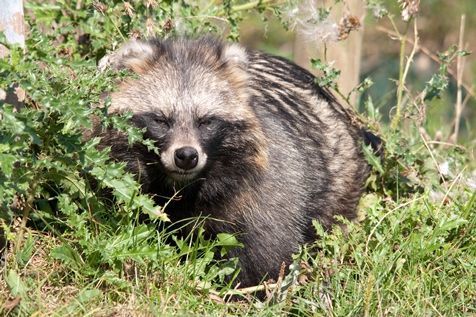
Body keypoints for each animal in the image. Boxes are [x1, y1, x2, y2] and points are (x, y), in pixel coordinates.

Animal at [96, 36, 376, 286]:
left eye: (206, 121)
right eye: (160, 120)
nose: (186, 156)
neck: (183, 187)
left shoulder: (272, 183)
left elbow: (268, 252)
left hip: (339, 179)